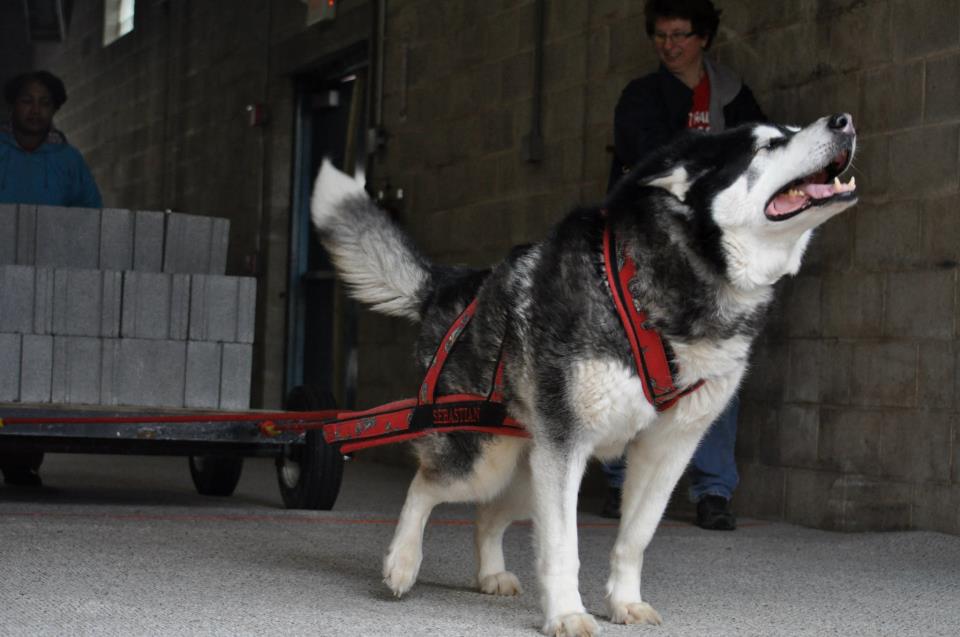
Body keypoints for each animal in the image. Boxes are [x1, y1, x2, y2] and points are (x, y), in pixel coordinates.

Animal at [312, 115, 860, 636]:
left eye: (793, 129)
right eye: (768, 143)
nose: (845, 121)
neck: (678, 284)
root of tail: (452, 282)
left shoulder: (667, 450)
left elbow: (635, 537)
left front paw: (624, 602)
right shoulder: (567, 445)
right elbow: (563, 548)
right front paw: (566, 614)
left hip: (528, 469)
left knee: (487, 513)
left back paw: (490, 573)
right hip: (487, 457)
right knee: (426, 484)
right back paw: (402, 562)